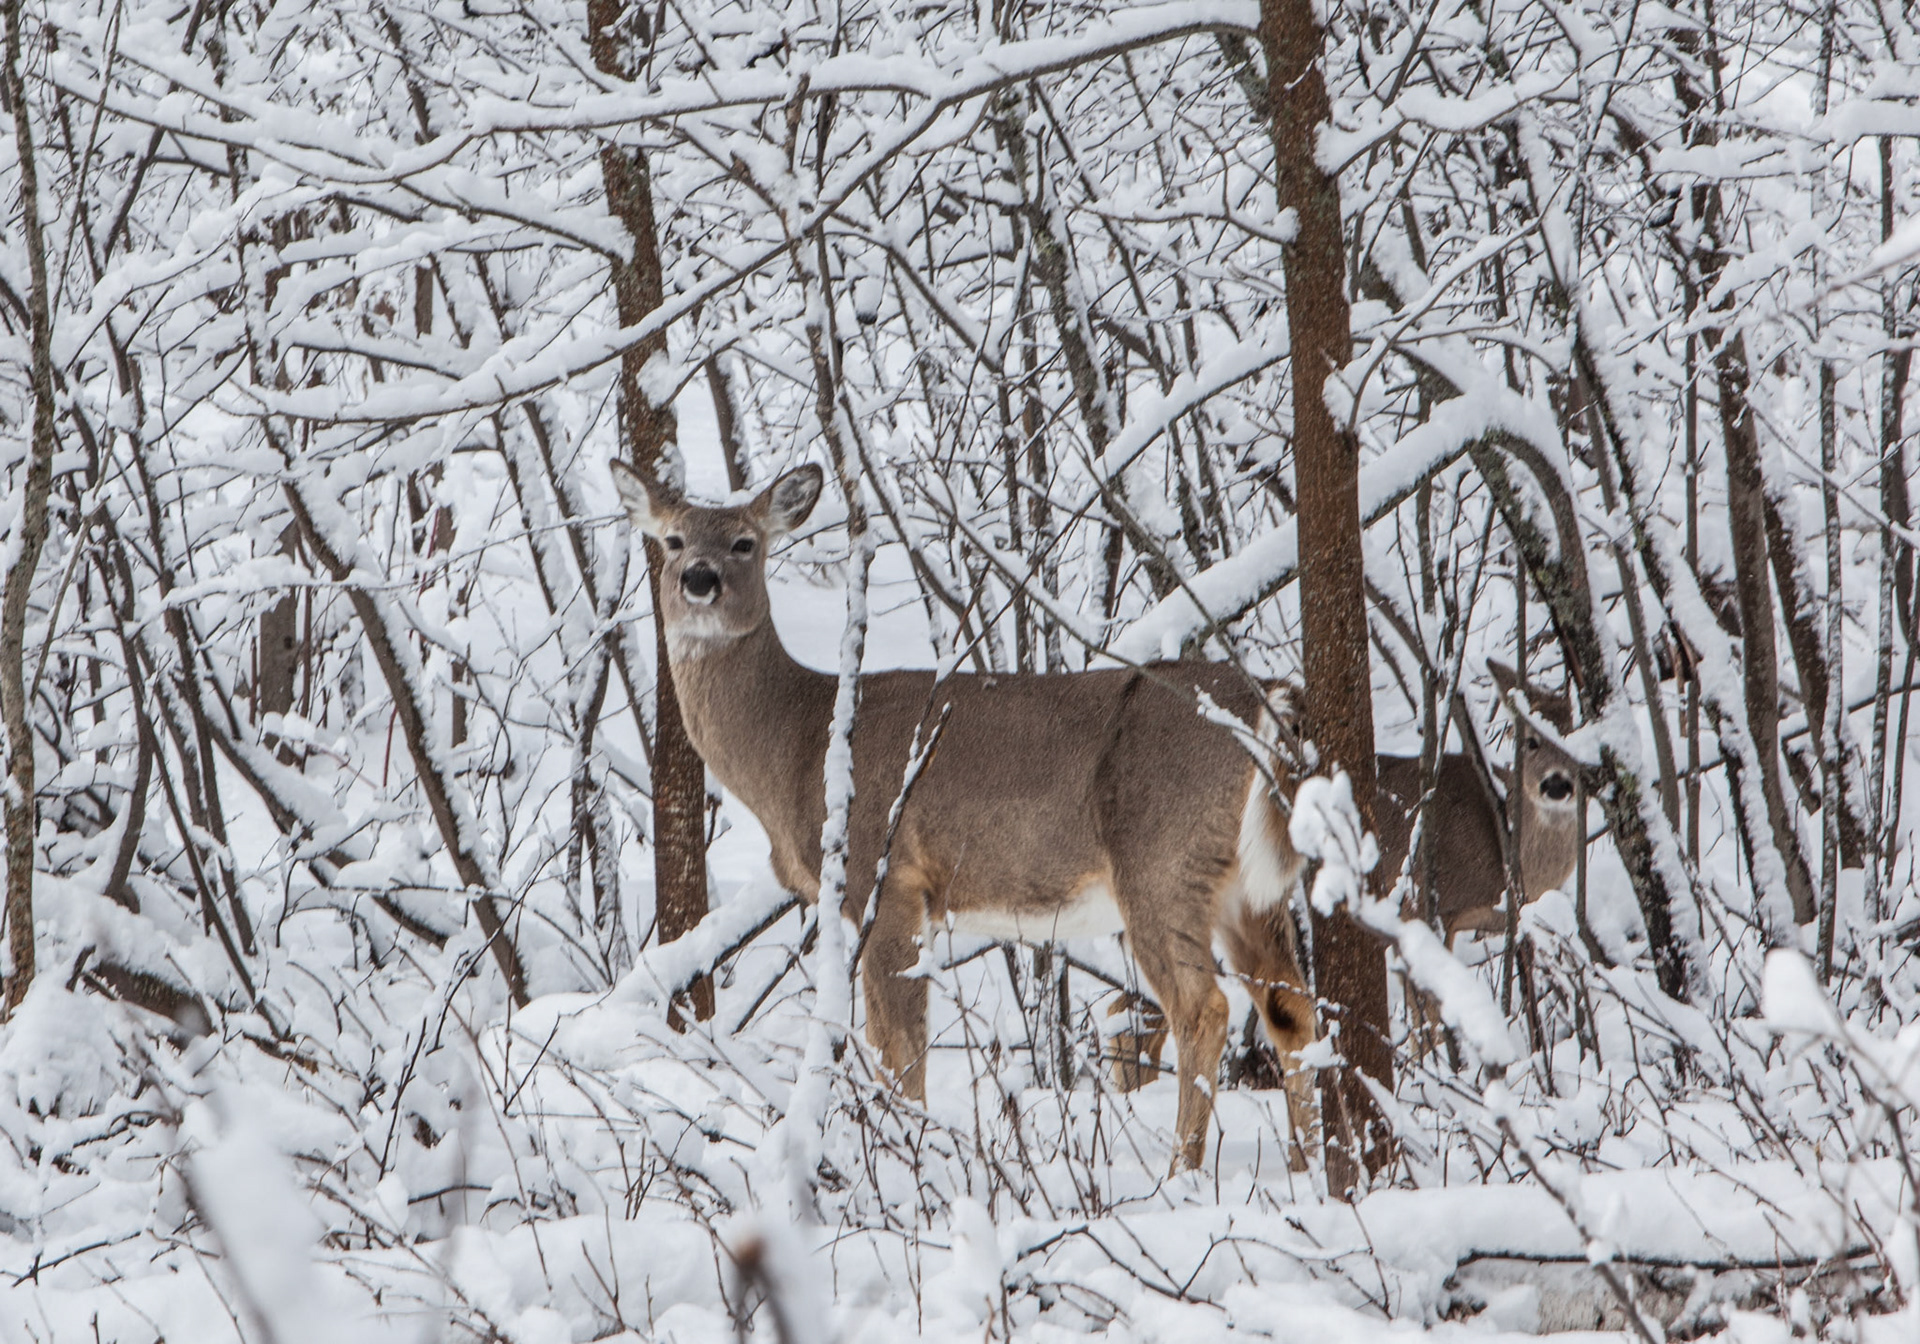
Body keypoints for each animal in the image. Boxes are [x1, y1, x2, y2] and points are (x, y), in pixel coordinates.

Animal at [610, 459, 1318, 1172]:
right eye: (672, 540)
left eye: (744, 543)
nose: (699, 579)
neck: (802, 745)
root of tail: (1269, 704)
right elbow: (884, 1038)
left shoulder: (886, 873)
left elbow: (900, 1047)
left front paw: (910, 1152)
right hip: (1245, 885)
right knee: (1290, 1004)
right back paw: (1312, 1165)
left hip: (1161, 858)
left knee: (1203, 1009)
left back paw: (1183, 1173)